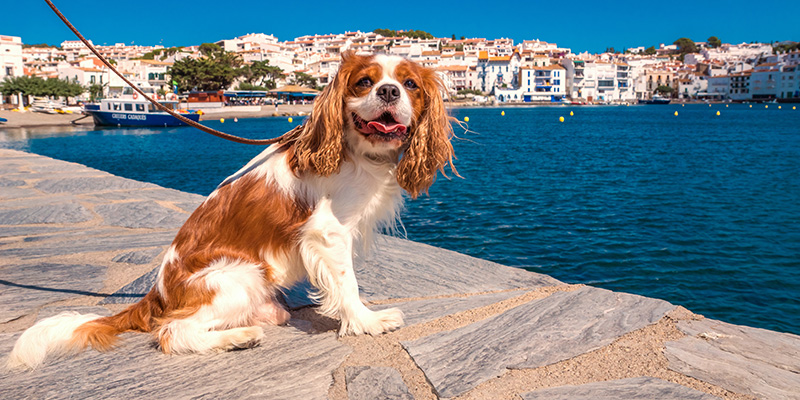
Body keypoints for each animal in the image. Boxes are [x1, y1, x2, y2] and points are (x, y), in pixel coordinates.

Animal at [7, 51, 456, 370]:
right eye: (365, 82)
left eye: (410, 85)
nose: (389, 92)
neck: (355, 150)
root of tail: (156, 294)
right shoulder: (327, 233)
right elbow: (348, 285)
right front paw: (366, 321)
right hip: (237, 277)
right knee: (172, 332)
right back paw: (235, 338)